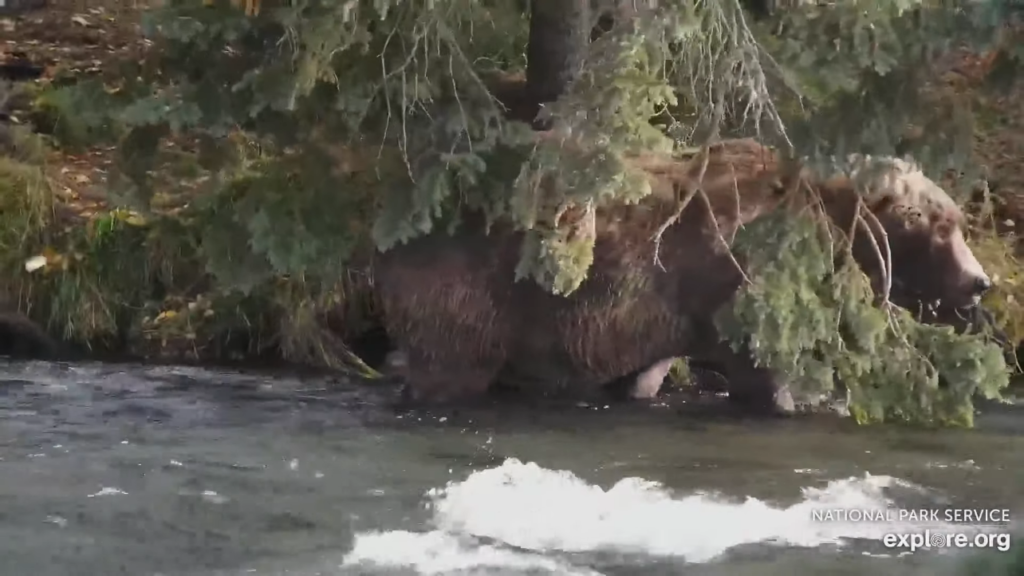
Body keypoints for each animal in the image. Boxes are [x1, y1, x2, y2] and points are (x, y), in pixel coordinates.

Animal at [374, 138, 991, 407]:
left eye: (958, 222)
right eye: (940, 226)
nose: (982, 281)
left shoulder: (649, 319)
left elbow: (643, 370)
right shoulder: (735, 289)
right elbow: (763, 371)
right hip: (472, 292)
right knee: (452, 359)